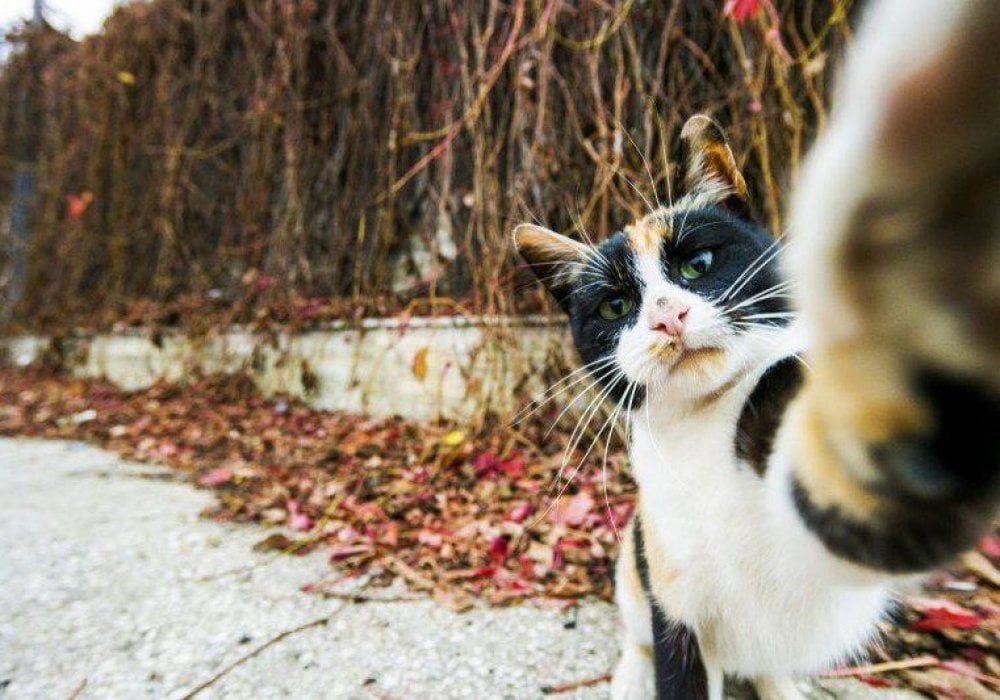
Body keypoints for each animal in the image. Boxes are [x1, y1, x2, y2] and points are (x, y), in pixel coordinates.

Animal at [512, 0, 996, 696]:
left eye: (699, 264)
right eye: (615, 307)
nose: (667, 316)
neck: (706, 430)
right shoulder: (674, 603)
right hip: (634, 568)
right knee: (636, 636)